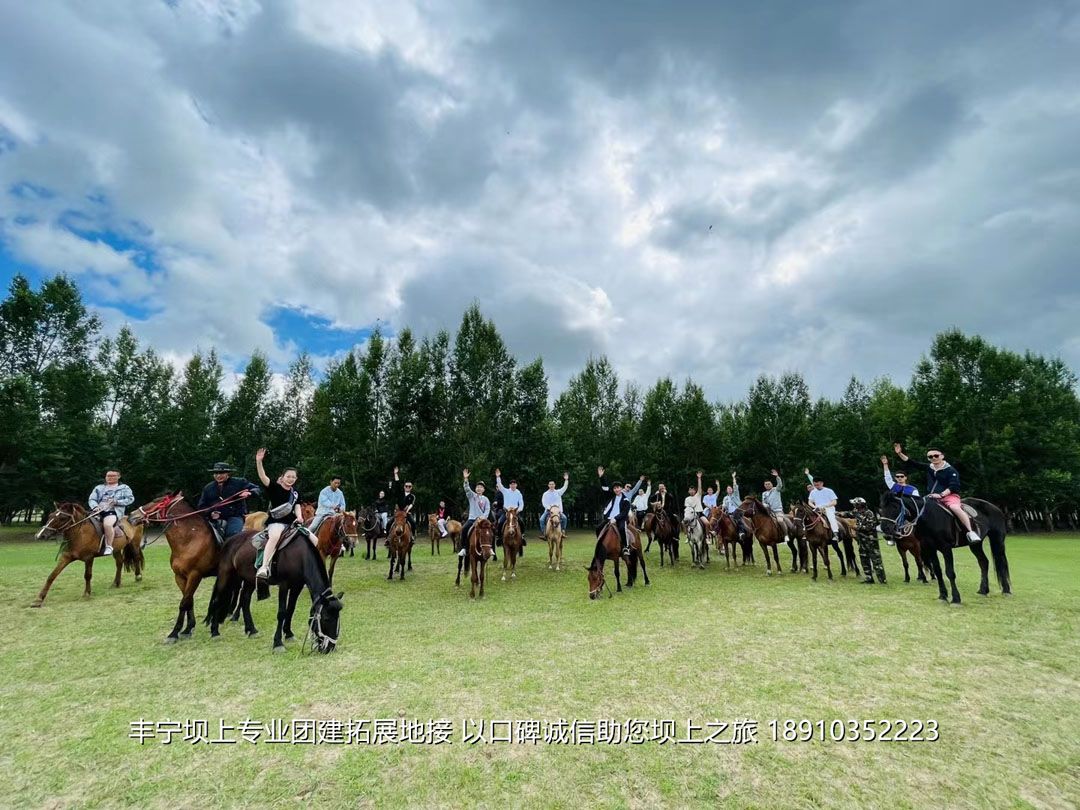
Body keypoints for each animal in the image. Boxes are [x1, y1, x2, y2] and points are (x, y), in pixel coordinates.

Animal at [205, 529, 341, 656]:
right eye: (327, 618)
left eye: (338, 618)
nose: (330, 648)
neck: (299, 556)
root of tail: (229, 540)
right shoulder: (284, 585)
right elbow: (282, 613)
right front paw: (278, 644)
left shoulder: (297, 586)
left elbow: (290, 610)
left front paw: (289, 634)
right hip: (226, 575)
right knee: (218, 599)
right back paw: (215, 632)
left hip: (249, 580)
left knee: (245, 599)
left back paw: (251, 630)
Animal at [876, 492, 1010, 604]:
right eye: (881, 508)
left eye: (895, 507)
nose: (886, 531)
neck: (929, 517)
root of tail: (996, 508)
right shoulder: (930, 549)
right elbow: (938, 571)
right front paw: (943, 596)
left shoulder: (946, 548)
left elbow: (950, 572)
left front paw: (956, 598)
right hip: (975, 545)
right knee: (983, 562)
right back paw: (983, 590)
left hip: (997, 540)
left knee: (1001, 562)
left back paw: (1006, 590)